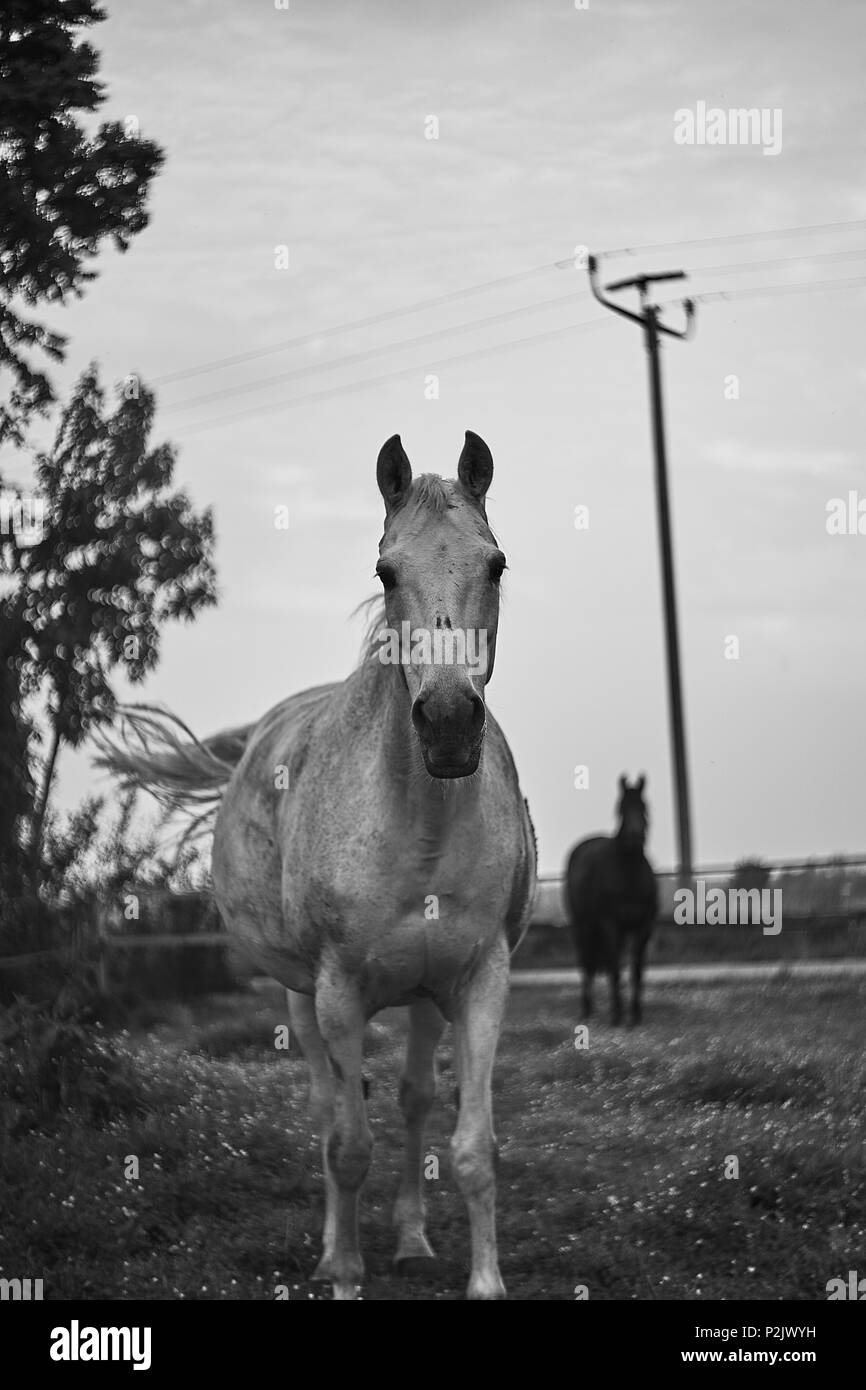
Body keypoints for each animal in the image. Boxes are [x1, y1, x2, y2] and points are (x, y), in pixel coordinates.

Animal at [97, 431, 537, 1300]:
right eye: (386, 571)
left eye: (497, 563)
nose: (447, 724)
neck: (419, 824)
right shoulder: (336, 991)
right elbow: (348, 1146)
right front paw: (343, 1273)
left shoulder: (481, 980)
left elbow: (472, 1150)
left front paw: (481, 1280)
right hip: (300, 996)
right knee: (331, 1108)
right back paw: (337, 1249)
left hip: (424, 995)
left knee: (410, 1100)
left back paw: (410, 1241)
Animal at [563, 774, 657, 1026]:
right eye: (621, 808)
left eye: (644, 807)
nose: (635, 837)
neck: (629, 876)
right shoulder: (610, 925)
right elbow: (614, 968)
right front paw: (617, 1015)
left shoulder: (644, 927)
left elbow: (636, 970)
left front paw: (635, 1014)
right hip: (583, 926)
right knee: (587, 963)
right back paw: (588, 1009)